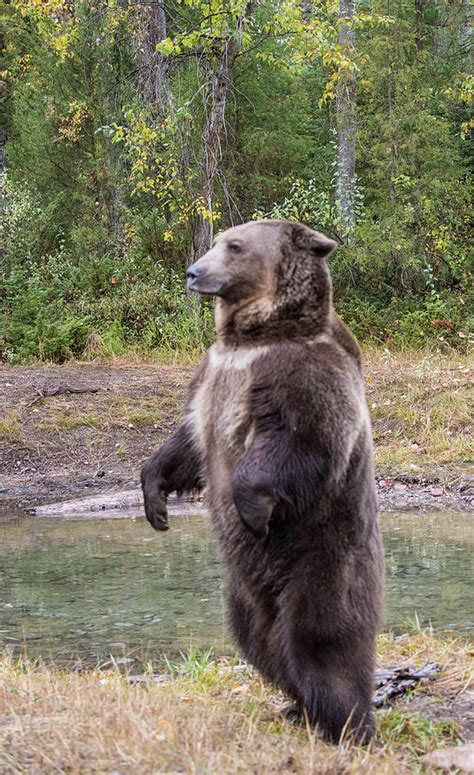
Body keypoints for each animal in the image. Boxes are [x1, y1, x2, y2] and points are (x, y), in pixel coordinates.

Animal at [141, 219, 384, 744]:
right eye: (216, 241)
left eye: (234, 246)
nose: (194, 272)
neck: (250, 340)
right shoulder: (211, 376)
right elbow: (188, 442)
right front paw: (155, 500)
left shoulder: (300, 375)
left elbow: (301, 441)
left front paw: (251, 511)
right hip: (245, 593)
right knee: (258, 640)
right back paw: (296, 705)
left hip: (324, 555)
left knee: (322, 636)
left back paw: (349, 724)